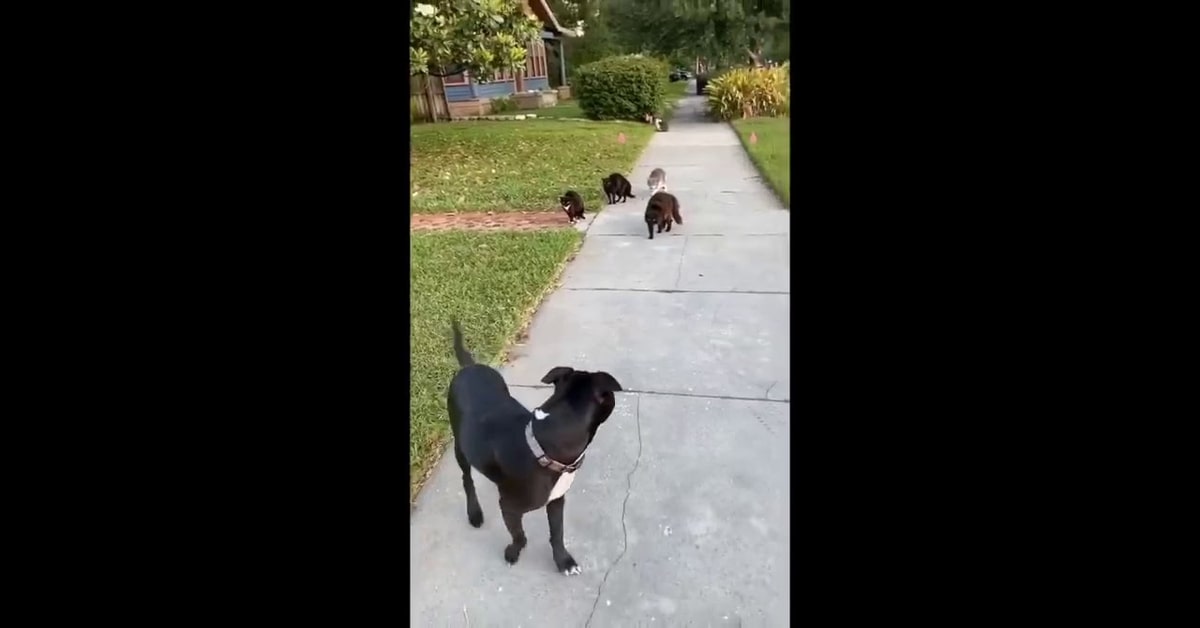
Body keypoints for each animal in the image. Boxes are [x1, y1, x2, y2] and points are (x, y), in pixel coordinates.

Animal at [446, 324, 624, 573]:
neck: (543, 445)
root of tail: (469, 367)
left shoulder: (557, 500)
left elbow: (557, 533)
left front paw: (563, 561)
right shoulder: (509, 507)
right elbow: (521, 537)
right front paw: (512, 552)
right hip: (460, 446)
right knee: (467, 479)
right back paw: (474, 513)